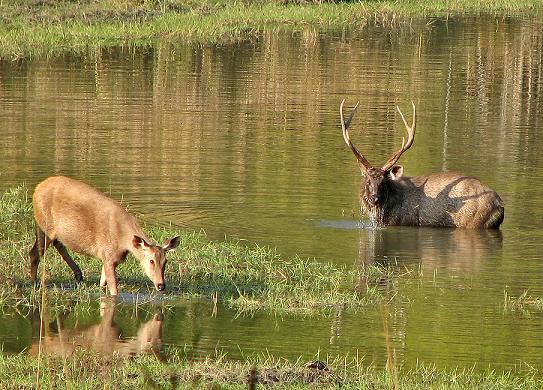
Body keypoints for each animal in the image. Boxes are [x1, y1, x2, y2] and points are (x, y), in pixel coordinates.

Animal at [29, 175, 181, 294]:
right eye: (151, 260)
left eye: (165, 261)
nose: (161, 285)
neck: (123, 241)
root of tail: (37, 189)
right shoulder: (108, 255)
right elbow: (114, 291)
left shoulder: (108, 258)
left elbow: (103, 284)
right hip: (45, 225)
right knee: (35, 253)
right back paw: (35, 284)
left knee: (57, 244)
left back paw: (78, 274)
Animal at [340, 99, 506, 230]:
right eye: (367, 180)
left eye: (383, 181)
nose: (374, 198)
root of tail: (499, 205)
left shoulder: (404, 221)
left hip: (474, 221)